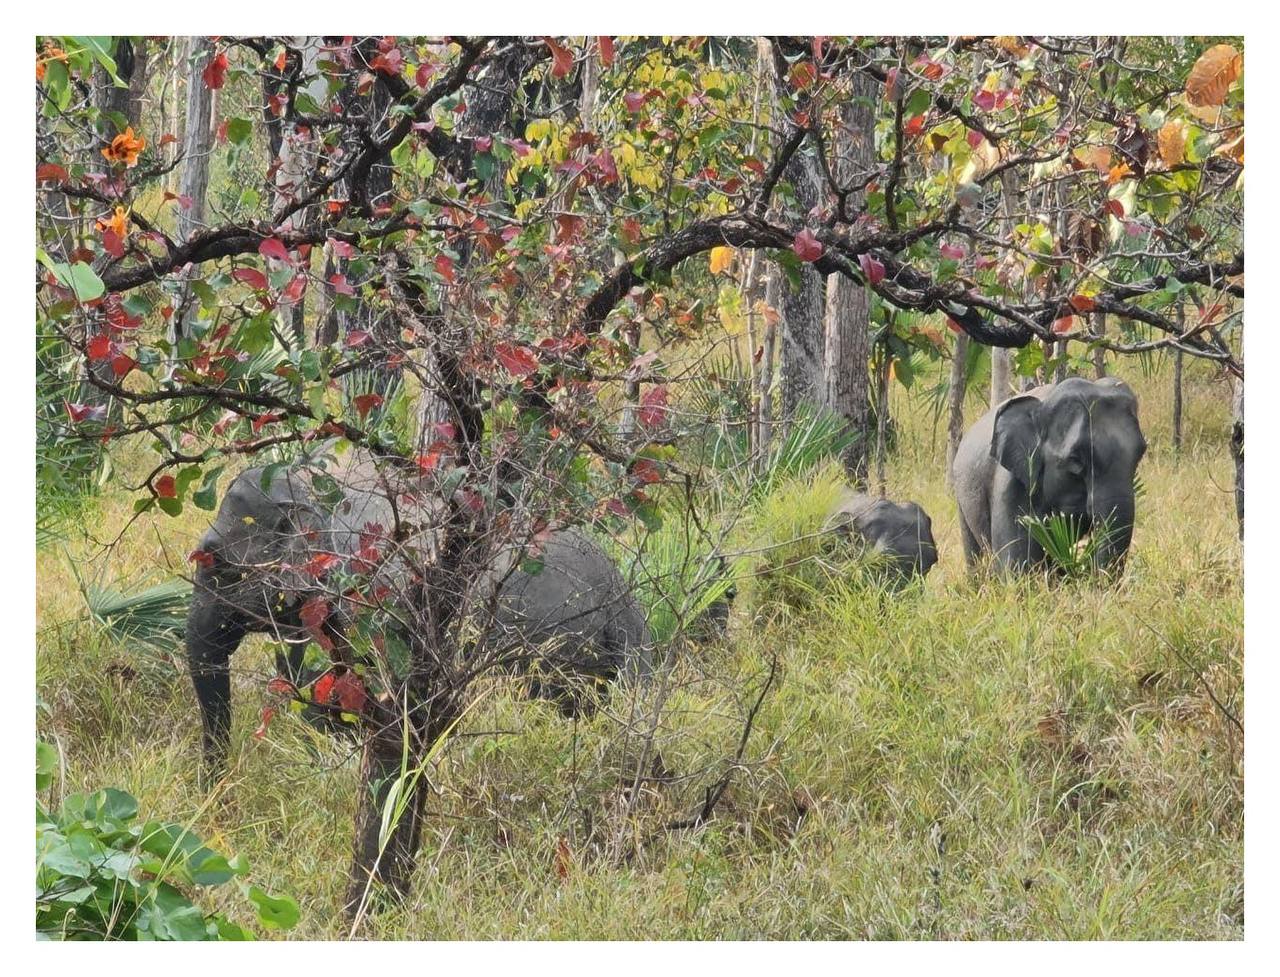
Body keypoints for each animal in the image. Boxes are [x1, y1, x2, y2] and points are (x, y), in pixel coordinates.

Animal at [186, 454, 653, 771]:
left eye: (216, 561)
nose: (214, 783)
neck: (307, 480)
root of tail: (618, 595)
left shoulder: (349, 594)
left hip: (535, 642)